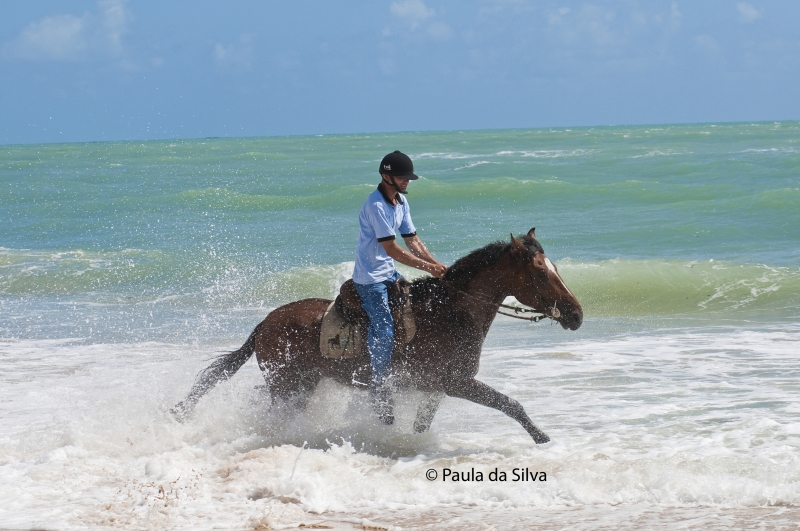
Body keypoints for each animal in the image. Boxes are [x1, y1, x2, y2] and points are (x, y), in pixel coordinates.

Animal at [170, 230, 580, 444]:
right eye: (541, 274)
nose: (576, 314)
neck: (449, 314)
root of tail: (264, 324)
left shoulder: (437, 387)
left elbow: (421, 425)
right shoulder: (457, 382)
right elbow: (510, 404)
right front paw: (542, 437)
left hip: (298, 383)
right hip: (289, 388)